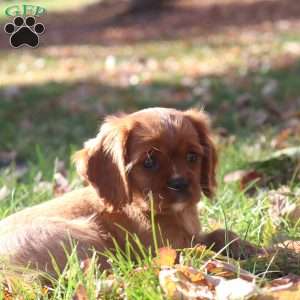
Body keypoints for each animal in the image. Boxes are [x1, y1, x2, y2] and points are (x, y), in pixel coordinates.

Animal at [0, 107, 258, 274]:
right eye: (149, 162)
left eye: (192, 157)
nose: (179, 183)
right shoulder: (170, 248)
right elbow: (199, 251)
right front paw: (234, 263)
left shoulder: (194, 235)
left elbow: (220, 233)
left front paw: (251, 249)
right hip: (87, 236)